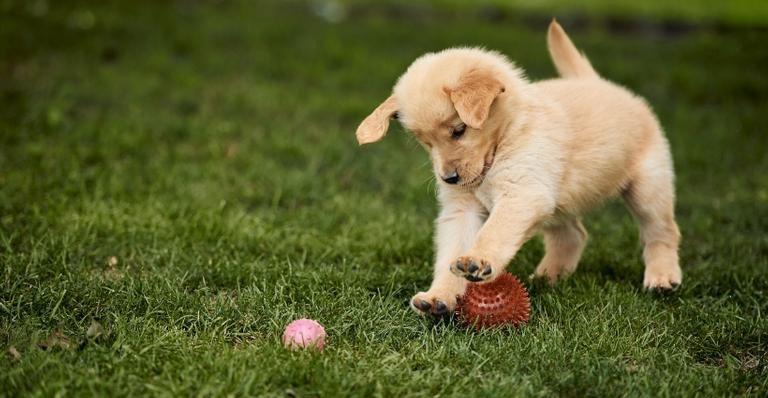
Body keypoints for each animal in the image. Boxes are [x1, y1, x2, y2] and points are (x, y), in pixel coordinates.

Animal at [356, 21, 680, 318]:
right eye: (424, 142)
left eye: (459, 130)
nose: (449, 179)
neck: (507, 135)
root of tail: (599, 83)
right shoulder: (464, 208)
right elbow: (452, 250)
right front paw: (439, 297)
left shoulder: (521, 192)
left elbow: (494, 231)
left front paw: (478, 259)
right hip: (557, 202)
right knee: (573, 235)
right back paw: (548, 277)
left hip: (647, 186)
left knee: (661, 232)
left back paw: (662, 278)